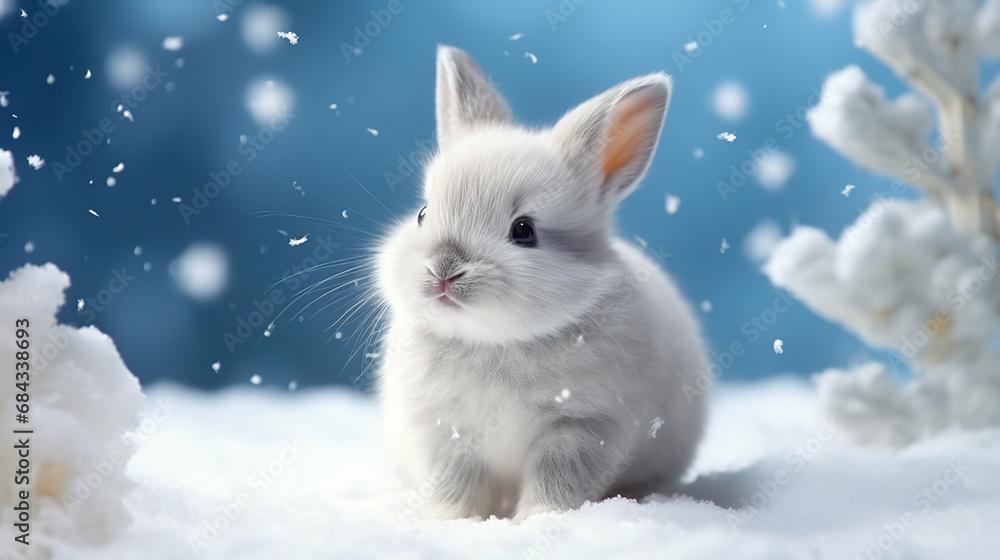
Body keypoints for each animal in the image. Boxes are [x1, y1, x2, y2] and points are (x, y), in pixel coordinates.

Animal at [376, 45, 707, 522]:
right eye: (423, 213)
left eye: (524, 231)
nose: (444, 270)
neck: (494, 341)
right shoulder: (446, 432)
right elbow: (456, 485)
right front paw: (452, 521)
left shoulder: (580, 427)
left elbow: (558, 482)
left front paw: (538, 520)